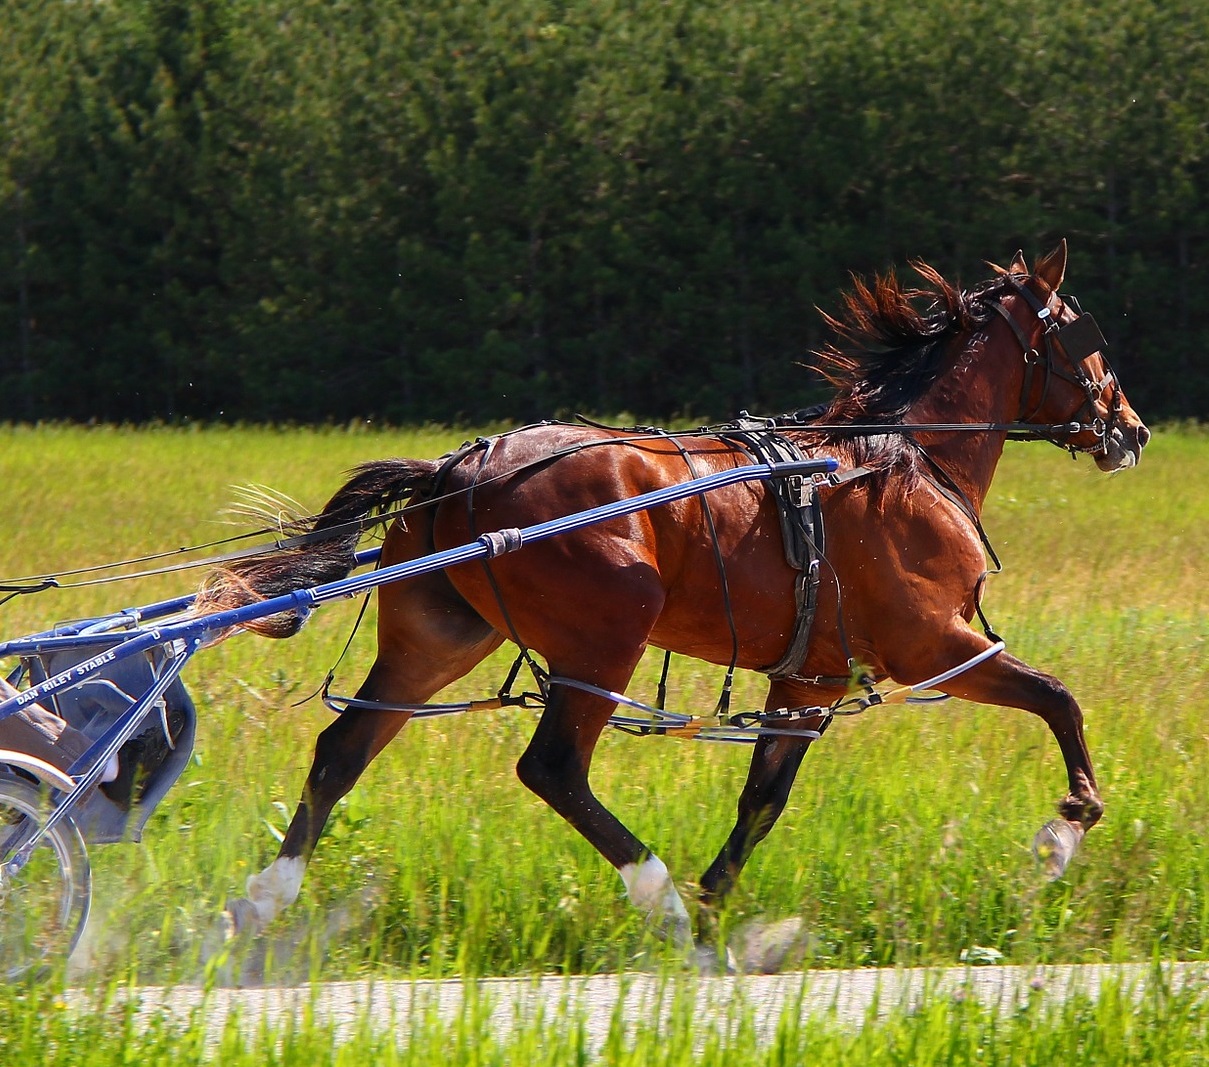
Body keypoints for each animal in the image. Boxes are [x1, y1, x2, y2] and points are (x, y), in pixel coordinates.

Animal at [200, 244, 1150, 961]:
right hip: (604, 636)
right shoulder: (933, 645)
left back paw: (260, 903)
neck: (900, 459)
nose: (1131, 428)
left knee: (341, 752)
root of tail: (457, 469)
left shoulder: (809, 679)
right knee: (552, 768)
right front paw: (1065, 828)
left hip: (439, 636)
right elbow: (1059, 699)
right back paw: (654, 897)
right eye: (1084, 333)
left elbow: (761, 801)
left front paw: (713, 912)